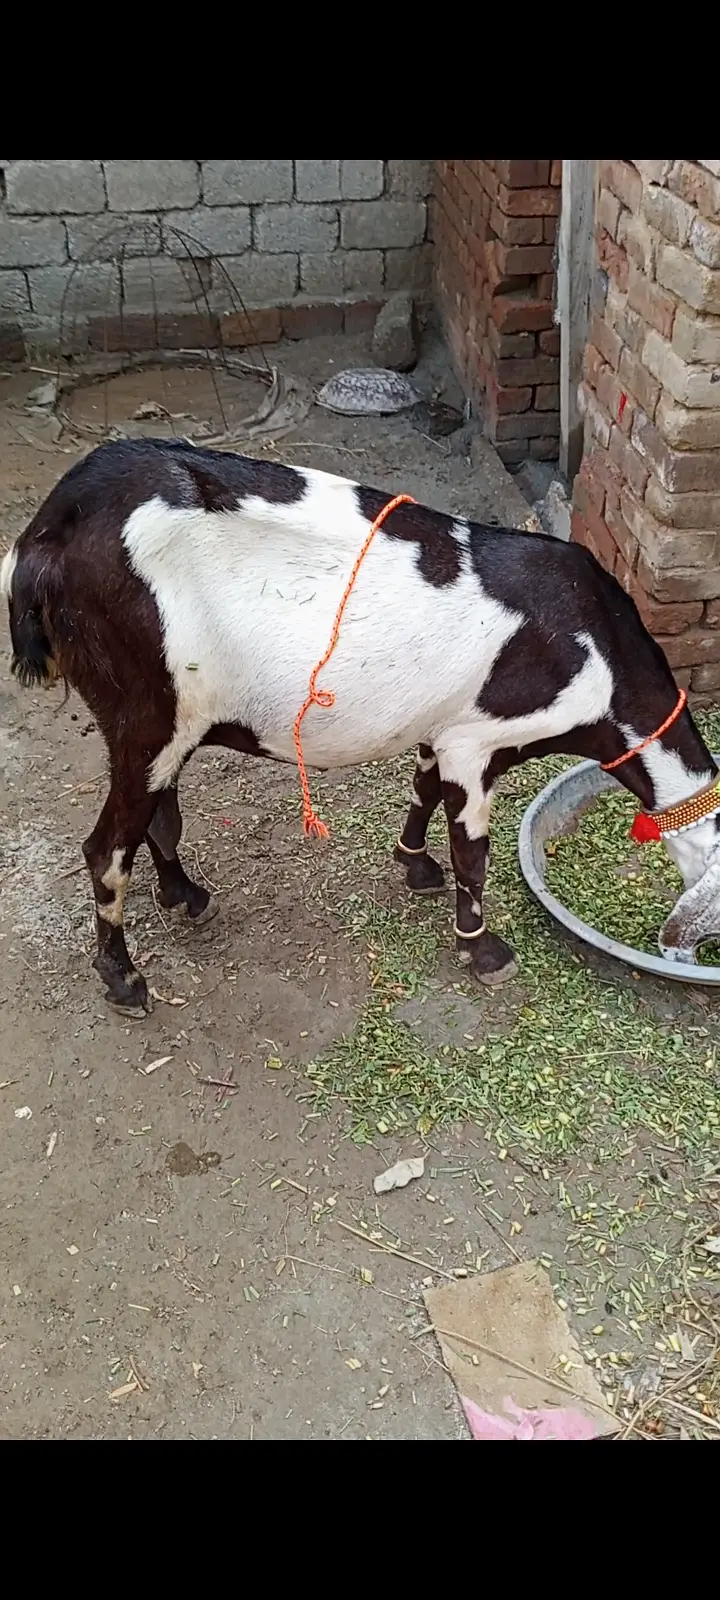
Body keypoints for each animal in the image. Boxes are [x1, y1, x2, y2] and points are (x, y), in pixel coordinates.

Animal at [3, 437, 720, 1016]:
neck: (596, 647)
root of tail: (43, 537)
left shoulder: (442, 725)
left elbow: (422, 789)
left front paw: (415, 865)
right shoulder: (475, 740)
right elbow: (473, 851)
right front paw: (483, 950)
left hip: (168, 719)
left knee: (158, 814)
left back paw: (184, 894)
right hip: (144, 709)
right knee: (106, 848)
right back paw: (122, 979)